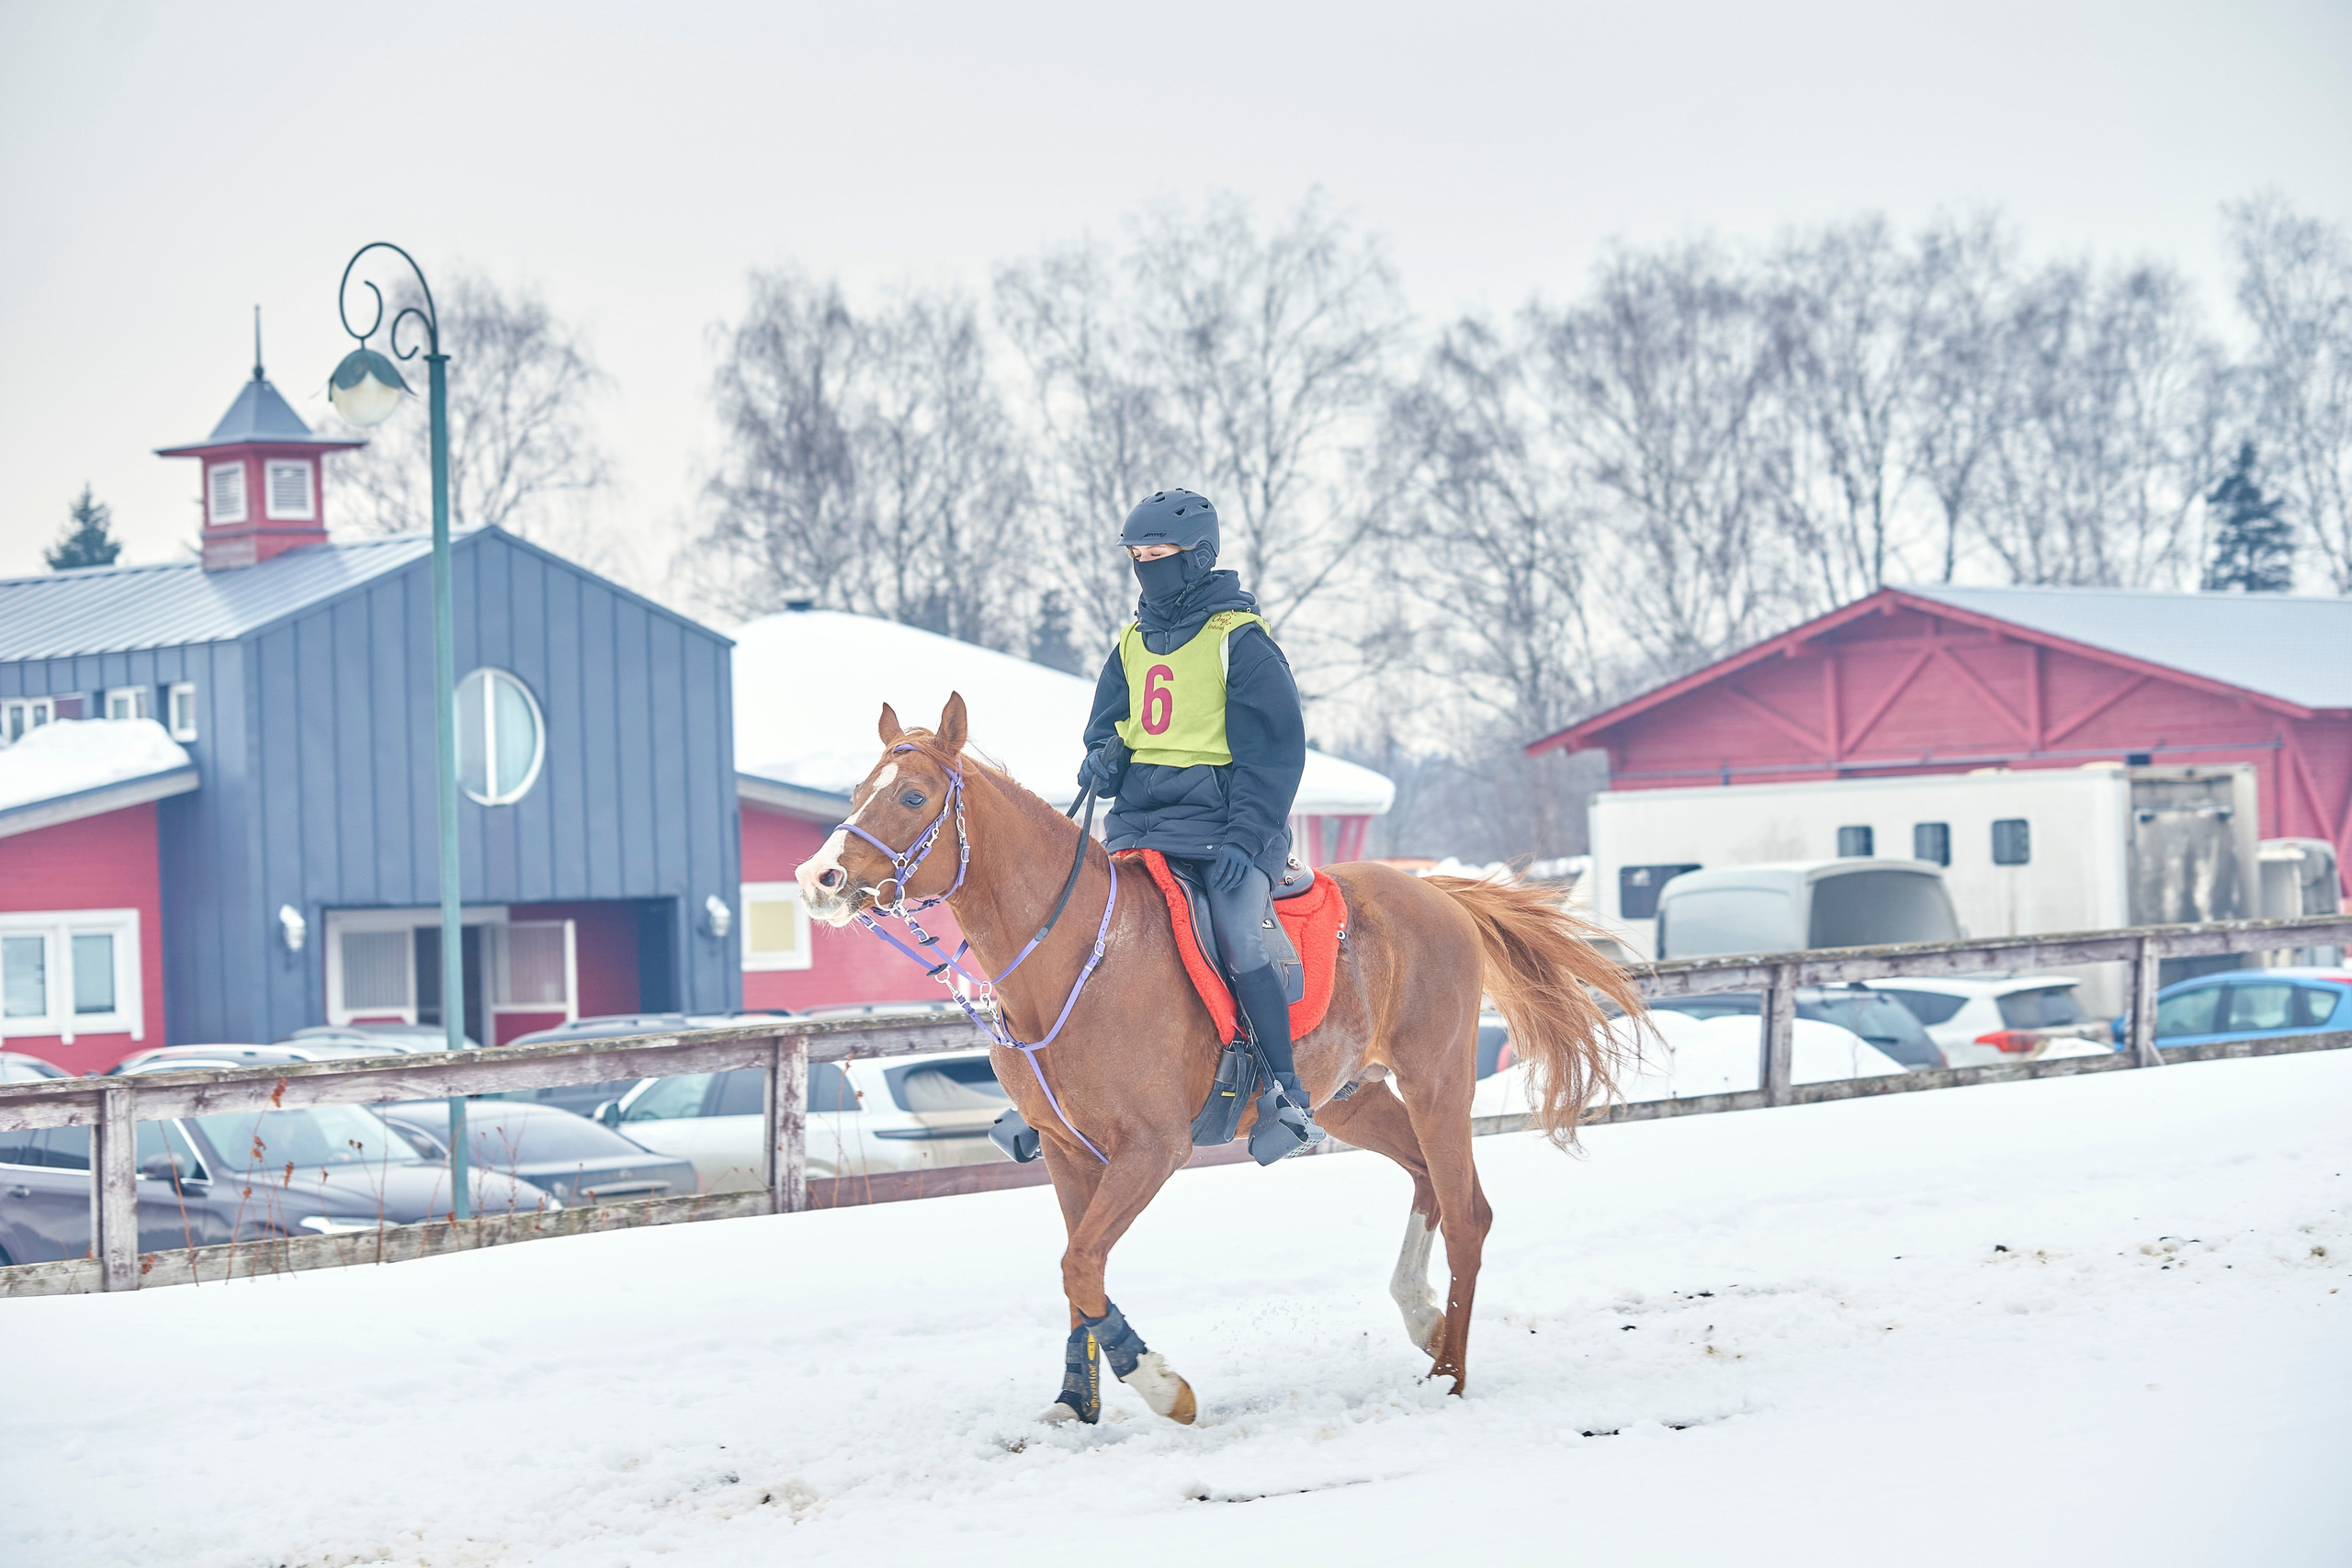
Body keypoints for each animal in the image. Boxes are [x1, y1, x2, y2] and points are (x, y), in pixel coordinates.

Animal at [795, 693, 1643, 1423]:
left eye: (911, 797)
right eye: (857, 790)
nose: (818, 878)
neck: (1076, 959)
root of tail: (1438, 892)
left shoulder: (1150, 1150)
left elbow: (1080, 1264)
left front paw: (1160, 1383)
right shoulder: (1069, 1152)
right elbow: (1079, 1270)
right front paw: (1076, 1400)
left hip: (1437, 1081)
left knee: (1469, 1212)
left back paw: (1447, 1373)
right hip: (1352, 1098)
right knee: (1428, 1180)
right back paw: (1422, 1315)